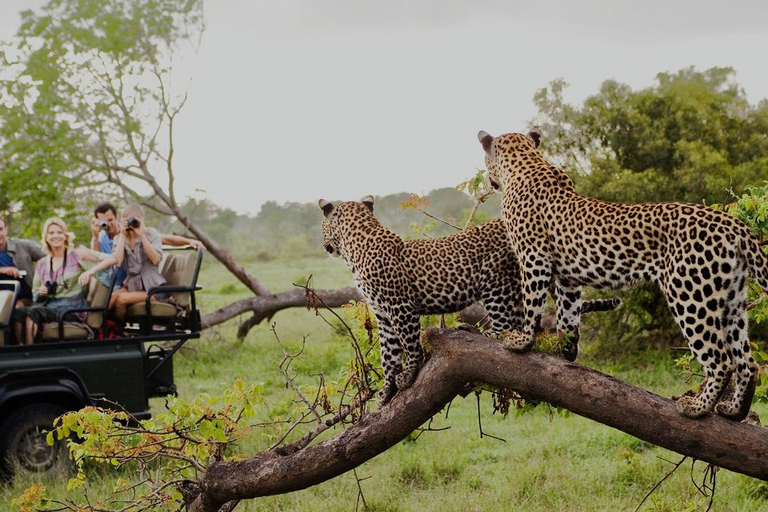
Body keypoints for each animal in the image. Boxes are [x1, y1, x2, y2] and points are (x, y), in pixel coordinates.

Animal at [320, 196, 620, 404]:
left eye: (322, 226)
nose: (324, 245)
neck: (355, 247)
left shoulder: (401, 307)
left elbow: (410, 345)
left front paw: (408, 375)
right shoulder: (382, 315)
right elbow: (388, 355)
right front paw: (385, 392)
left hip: (495, 281)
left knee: (504, 327)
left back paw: (478, 332)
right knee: (525, 323)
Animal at [476, 127, 768, 420]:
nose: (490, 182)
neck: (526, 163)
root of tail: (734, 225)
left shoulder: (534, 257)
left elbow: (532, 304)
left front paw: (522, 341)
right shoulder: (568, 278)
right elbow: (568, 313)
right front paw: (566, 349)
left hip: (690, 294)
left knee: (722, 360)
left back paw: (697, 407)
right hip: (731, 299)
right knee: (747, 362)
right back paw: (734, 411)